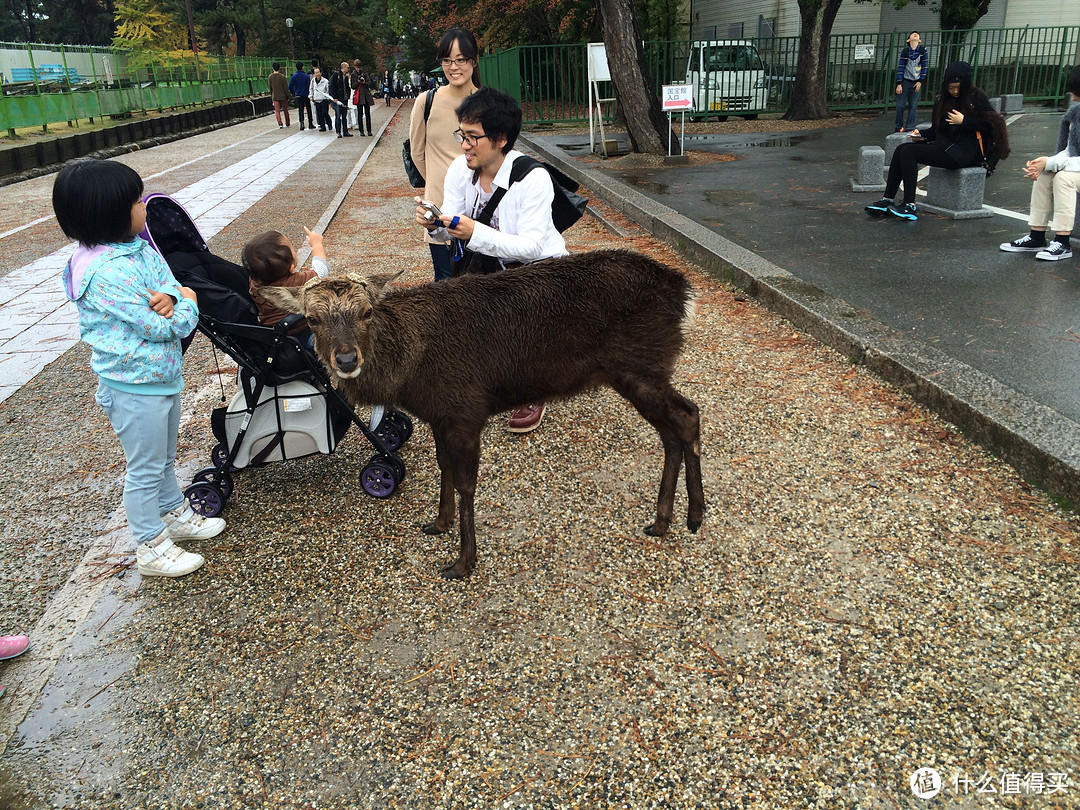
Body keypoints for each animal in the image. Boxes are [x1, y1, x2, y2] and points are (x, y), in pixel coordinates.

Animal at [258, 247, 704, 578]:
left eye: (366, 312)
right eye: (312, 319)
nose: (347, 359)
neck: (410, 373)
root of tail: (684, 290)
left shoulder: (466, 408)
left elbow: (466, 483)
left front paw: (463, 562)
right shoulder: (439, 414)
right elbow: (444, 466)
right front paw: (438, 523)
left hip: (640, 366)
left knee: (688, 416)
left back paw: (695, 516)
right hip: (640, 372)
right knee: (672, 428)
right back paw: (662, 520)